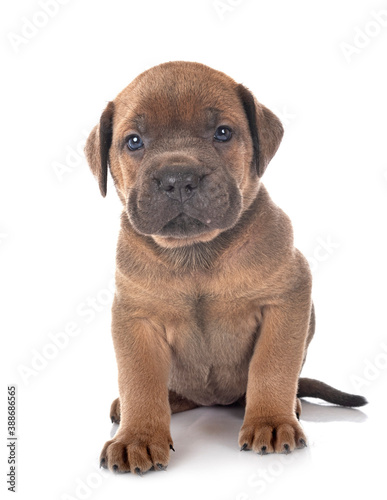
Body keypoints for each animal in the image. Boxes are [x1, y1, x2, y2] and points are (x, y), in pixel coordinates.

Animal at [85, 60, 366, 474]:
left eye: (223, 133)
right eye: (134, 141)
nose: (178, 178)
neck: (195, 255)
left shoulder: (287, 299)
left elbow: (272, 365)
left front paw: (270, 420)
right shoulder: (135, 317)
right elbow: (139, 380)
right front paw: (138, 436)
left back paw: (289, 406)